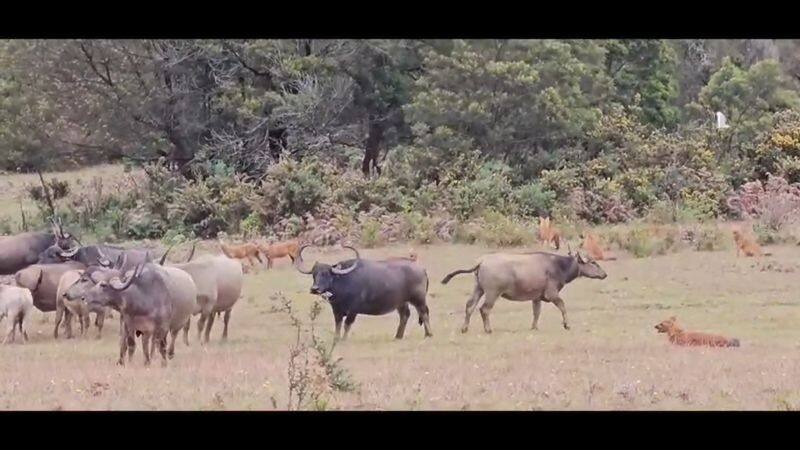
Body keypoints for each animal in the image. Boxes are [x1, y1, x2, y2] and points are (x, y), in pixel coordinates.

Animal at [296, 246, 432, 342]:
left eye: (326, 274)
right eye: (314, 274)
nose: (314, 289)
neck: (343, 281)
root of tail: (422, 269)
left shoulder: (353, 310)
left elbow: (347, 324)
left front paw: (344, 339)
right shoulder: (336, 310)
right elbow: (338, 324)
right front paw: (336, 338)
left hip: (418, 299)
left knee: (424, 313)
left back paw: (428, 334)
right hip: (401, 302)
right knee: (405, 315)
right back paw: (398, 336)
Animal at [438, 250, 608, 334]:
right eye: (593, 262)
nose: (604, 274)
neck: (559, 266)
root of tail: (482, 261)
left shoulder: (537, 297)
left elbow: (536, 312)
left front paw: (534, 327)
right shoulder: (551, 294)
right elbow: (563, 306)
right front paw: (567, 325)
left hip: (478, 288)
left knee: (470, 306)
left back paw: (464, 328)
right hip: (492, 292)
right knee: (484, 309)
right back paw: (488, 329)